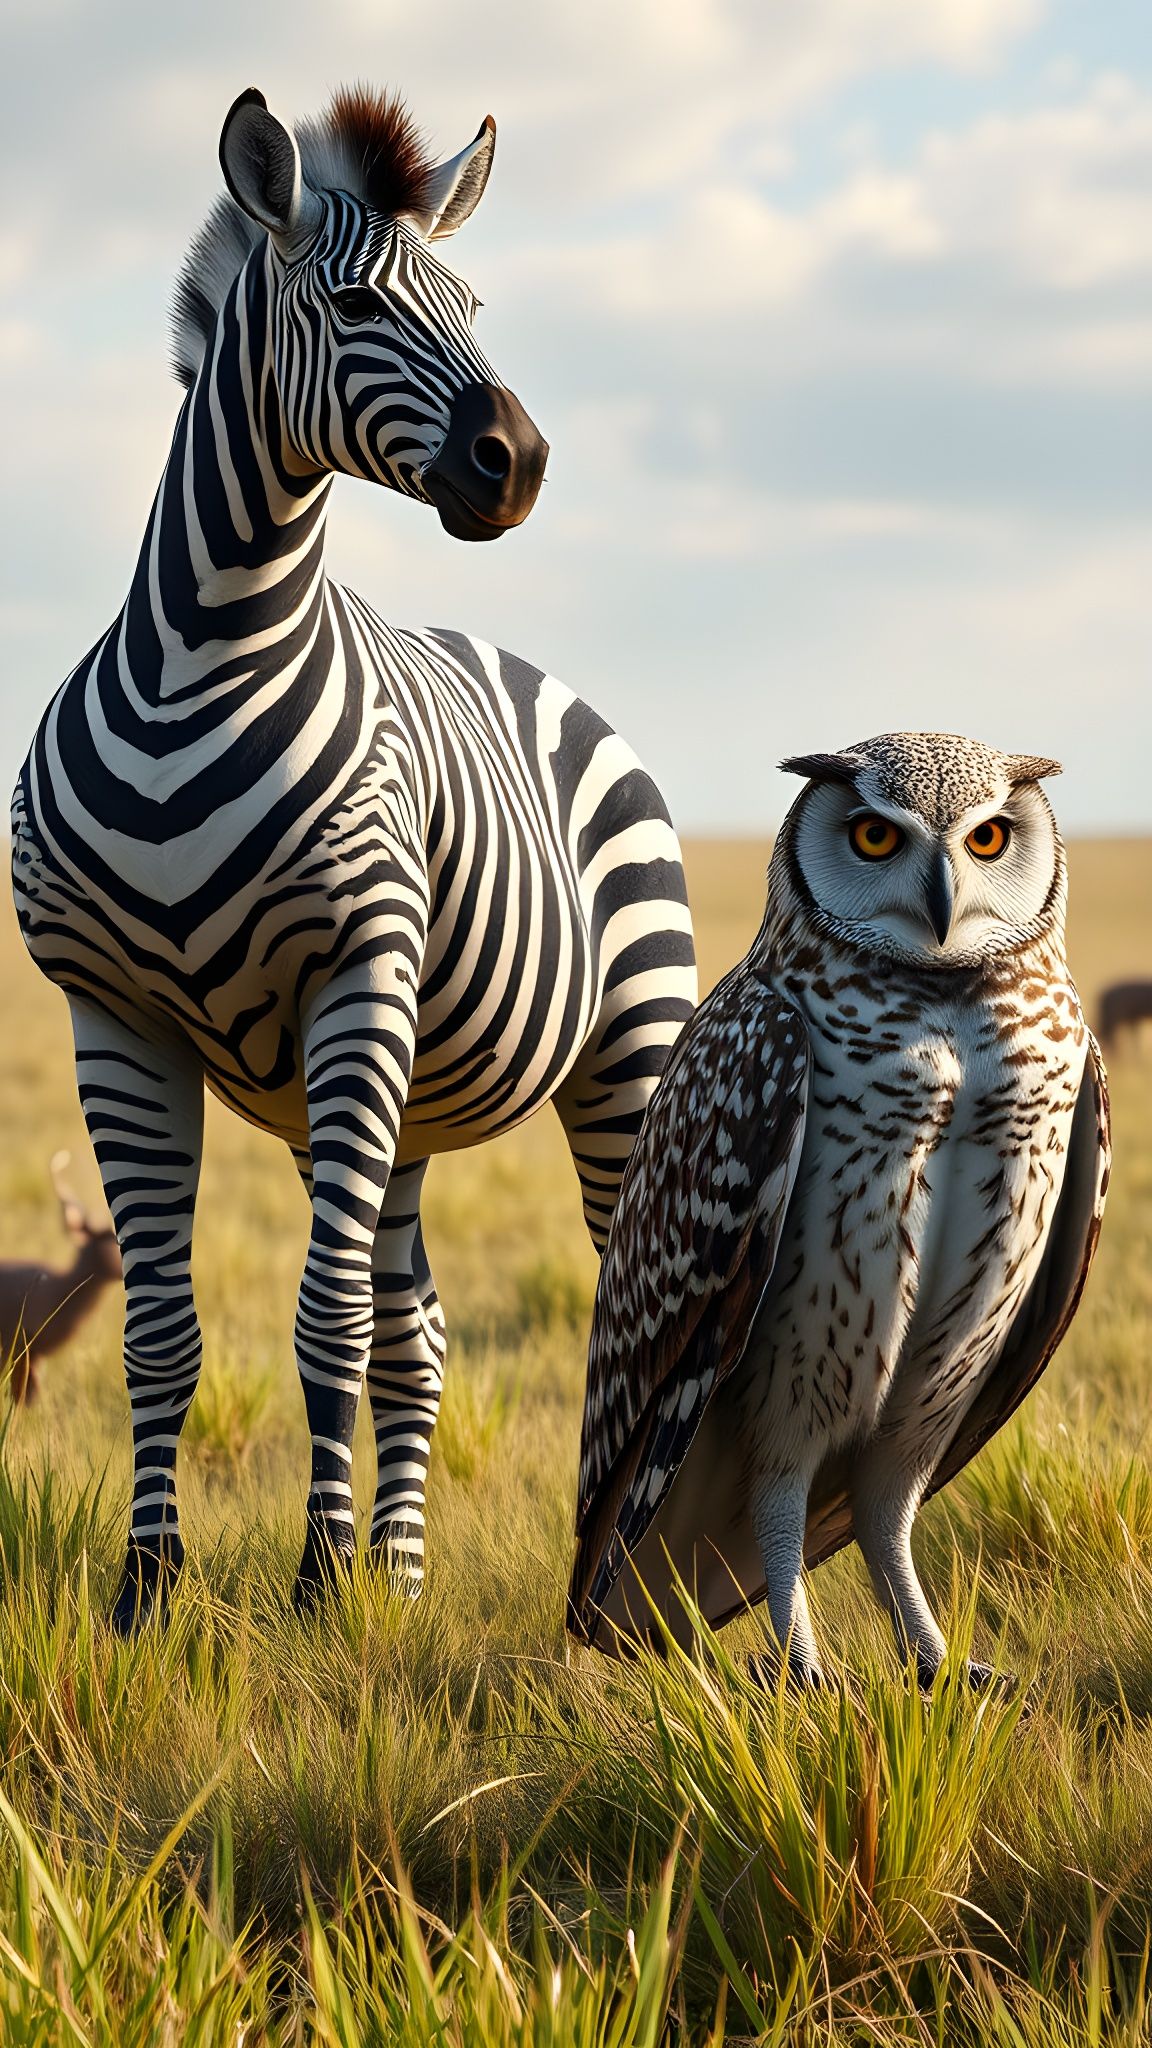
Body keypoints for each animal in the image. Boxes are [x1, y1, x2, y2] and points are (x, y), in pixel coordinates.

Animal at [11, 86, 697, 1632]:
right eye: (352, 302)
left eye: (475, 304)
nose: (522, 463)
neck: (207, 653)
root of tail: (526, 664)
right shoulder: (114, 1019)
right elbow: (163, 1329)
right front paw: (152, 1586)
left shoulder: (355, 984)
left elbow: (321, 1321)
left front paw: (317, 1582)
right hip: (417, 1107)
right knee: (420, 1330)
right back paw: (405, 1571)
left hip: (623, 1051)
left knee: (636, 1305)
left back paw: (639, 1599)